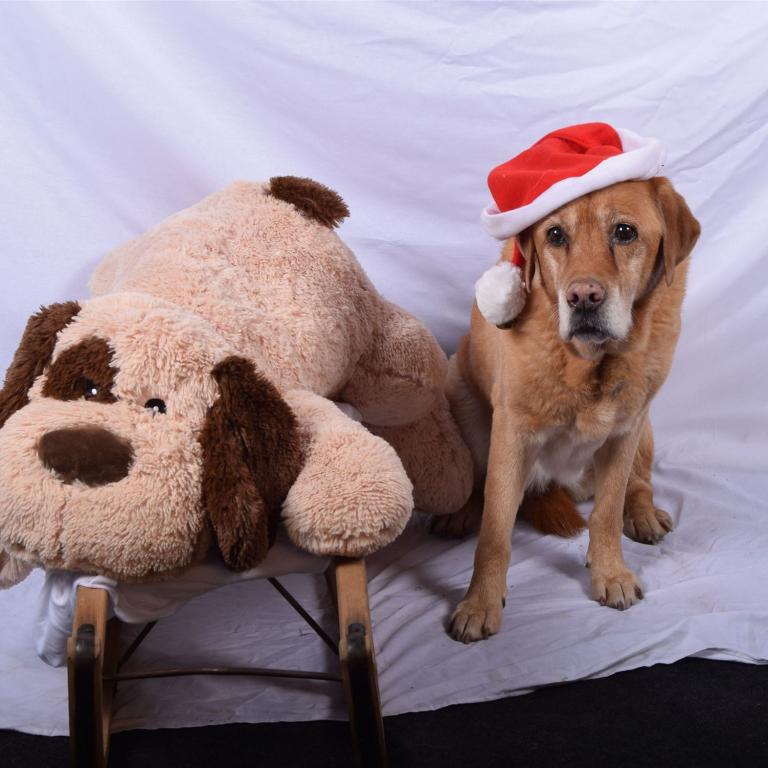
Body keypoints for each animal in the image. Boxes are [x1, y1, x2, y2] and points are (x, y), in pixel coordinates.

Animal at [437, 175, 700, 643]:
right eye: (555, 235)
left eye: (625, 232)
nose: (583, 296)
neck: (589, 363)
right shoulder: (512, 435)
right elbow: (495, 531)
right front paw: (480, 603)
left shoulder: (624, 431)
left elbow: (607, 513)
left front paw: (610, 573)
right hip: (459, 392)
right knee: (475, 481)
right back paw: (460, 513)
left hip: (645, 425)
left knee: (639, 483)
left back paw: (643, 513)